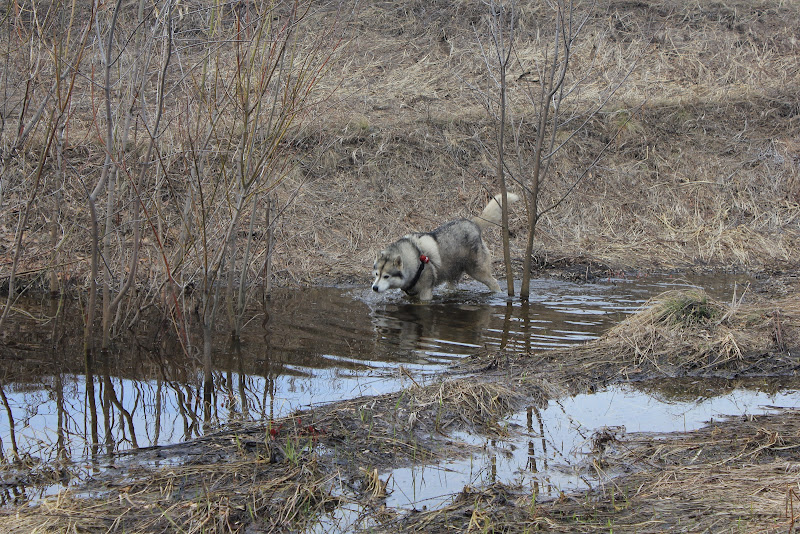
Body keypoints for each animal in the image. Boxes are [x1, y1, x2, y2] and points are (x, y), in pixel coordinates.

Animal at [374, 193, 520, 302]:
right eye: (376, 274)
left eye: (386, 276)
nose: (374, 288)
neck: (414, 258)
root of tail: (473, 223)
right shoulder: (409, 293)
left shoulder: (426, 293)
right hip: (452, 276)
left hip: (477, 271)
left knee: (494, 282)